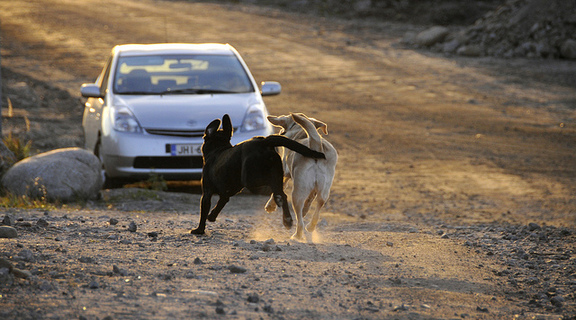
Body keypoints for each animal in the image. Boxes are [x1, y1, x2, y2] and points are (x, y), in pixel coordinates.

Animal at [190, 114, 322, 234]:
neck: (217, 150)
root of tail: (264, 141)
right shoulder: (225, 195)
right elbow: (219, 205)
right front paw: (212, 216)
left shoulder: (206, 193)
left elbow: (204, 211)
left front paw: (199, 230)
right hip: (277, 173)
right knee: (282, 194)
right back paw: (287, 219)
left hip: (250, 179)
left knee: (272, 188)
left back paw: (279, 203)